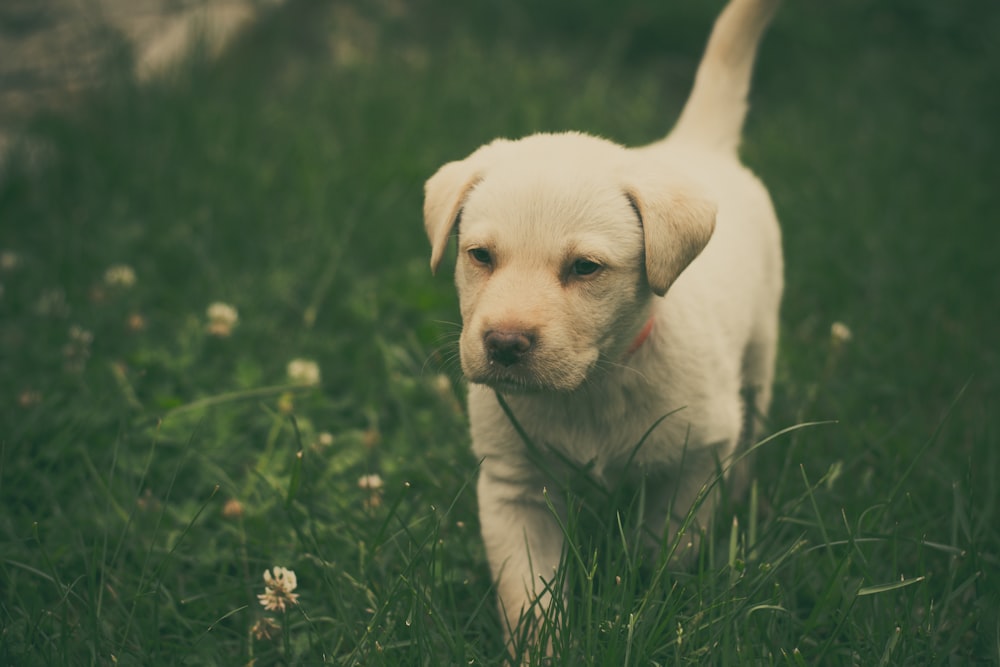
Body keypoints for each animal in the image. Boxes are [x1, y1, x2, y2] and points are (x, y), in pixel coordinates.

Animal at [422, 0, 780, 644]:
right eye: (480, 256)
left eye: (585, 268)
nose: (504, 343)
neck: (594, 385)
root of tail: (695, 146)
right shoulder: (514, 486)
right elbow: (528, 591)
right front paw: (541, 646)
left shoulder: (696, 456)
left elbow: (665, 544)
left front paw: (644, 599)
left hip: (761, 350)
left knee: (753, 425)